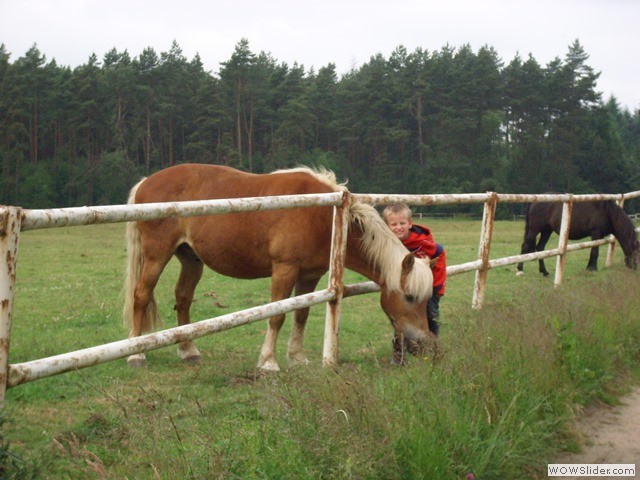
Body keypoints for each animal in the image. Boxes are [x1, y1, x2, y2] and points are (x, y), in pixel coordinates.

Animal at [122, 163, 432, 370]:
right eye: (410, 297)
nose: (423, 342)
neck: (325, 215)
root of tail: (147, 181)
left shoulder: (310, 275)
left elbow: (301, 314)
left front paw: (297, 357)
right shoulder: (285, 269)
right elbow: (277, 315)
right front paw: (268, 363)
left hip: (191, 259)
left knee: (183, 298)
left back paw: (189, 351)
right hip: (156, 256)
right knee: (141, 295)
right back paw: (136, 354)